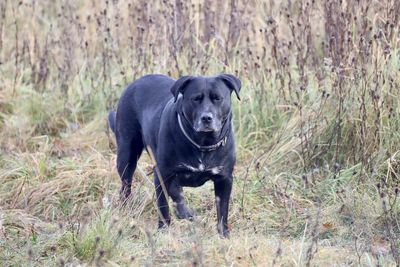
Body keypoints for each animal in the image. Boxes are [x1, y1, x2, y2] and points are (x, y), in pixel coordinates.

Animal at [107, 73, 241, 237]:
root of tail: (136, 82)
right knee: (126, 186)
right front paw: (163, 229)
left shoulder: (224, 178)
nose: (206, 118)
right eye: (195, 99)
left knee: (177, 193)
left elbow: (222, 209)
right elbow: (163, 204)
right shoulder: (162, 174)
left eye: (218, 98)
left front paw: (224, 234)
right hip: (126, 157)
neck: (202, 143)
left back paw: (185, 213)